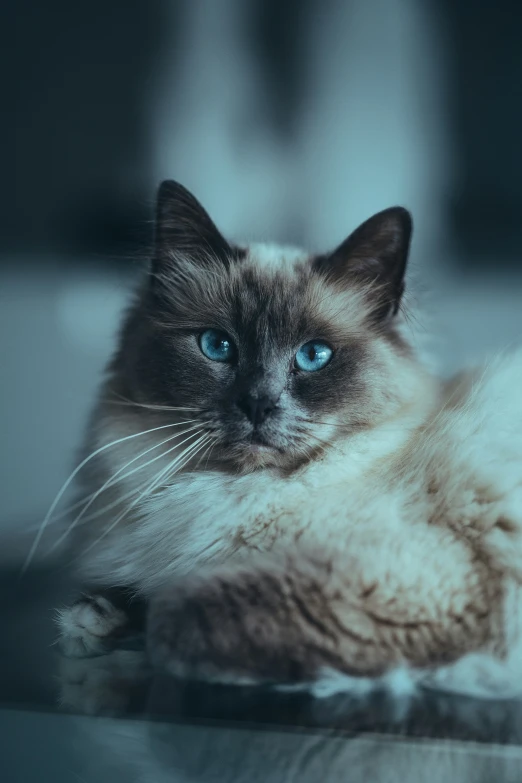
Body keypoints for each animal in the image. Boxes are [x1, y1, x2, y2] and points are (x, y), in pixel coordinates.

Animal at [47, 181, 520, 700]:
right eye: (217, 346)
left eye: (313, 356)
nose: (258, 404)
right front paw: (95, 618)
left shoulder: (409, 582)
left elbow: (174, 614)